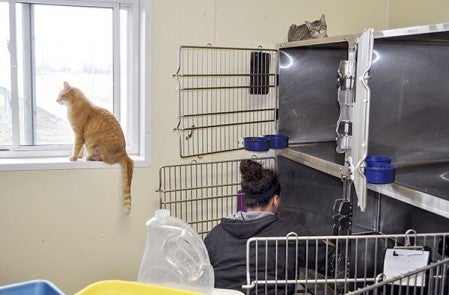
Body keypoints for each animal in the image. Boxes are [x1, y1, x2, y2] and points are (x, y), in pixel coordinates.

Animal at [56, 81, 133, 215]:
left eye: (60, 95)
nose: (56, 100)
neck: (75, 104)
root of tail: (124, 152)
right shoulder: (81, 137)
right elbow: (80, 148)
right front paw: (79, 156)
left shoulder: (78, 134)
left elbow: (76, 146)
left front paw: (74, 157)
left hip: (93, 146)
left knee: (103, 159)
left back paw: (89, 157)